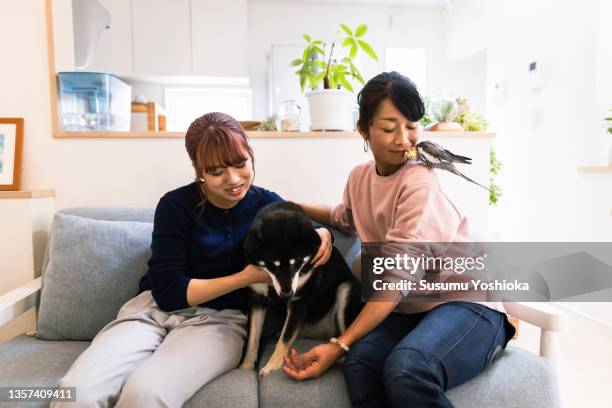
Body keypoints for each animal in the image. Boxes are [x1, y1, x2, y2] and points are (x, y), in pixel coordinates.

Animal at [239, 201, 364, 376]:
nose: (287, 294)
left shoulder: (298, 302)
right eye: (272, 265)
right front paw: (246, 366)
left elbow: (285, 339)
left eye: (297, 262)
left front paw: (271, 366)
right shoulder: (257, 299)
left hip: (345, 288)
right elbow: (253, 339)